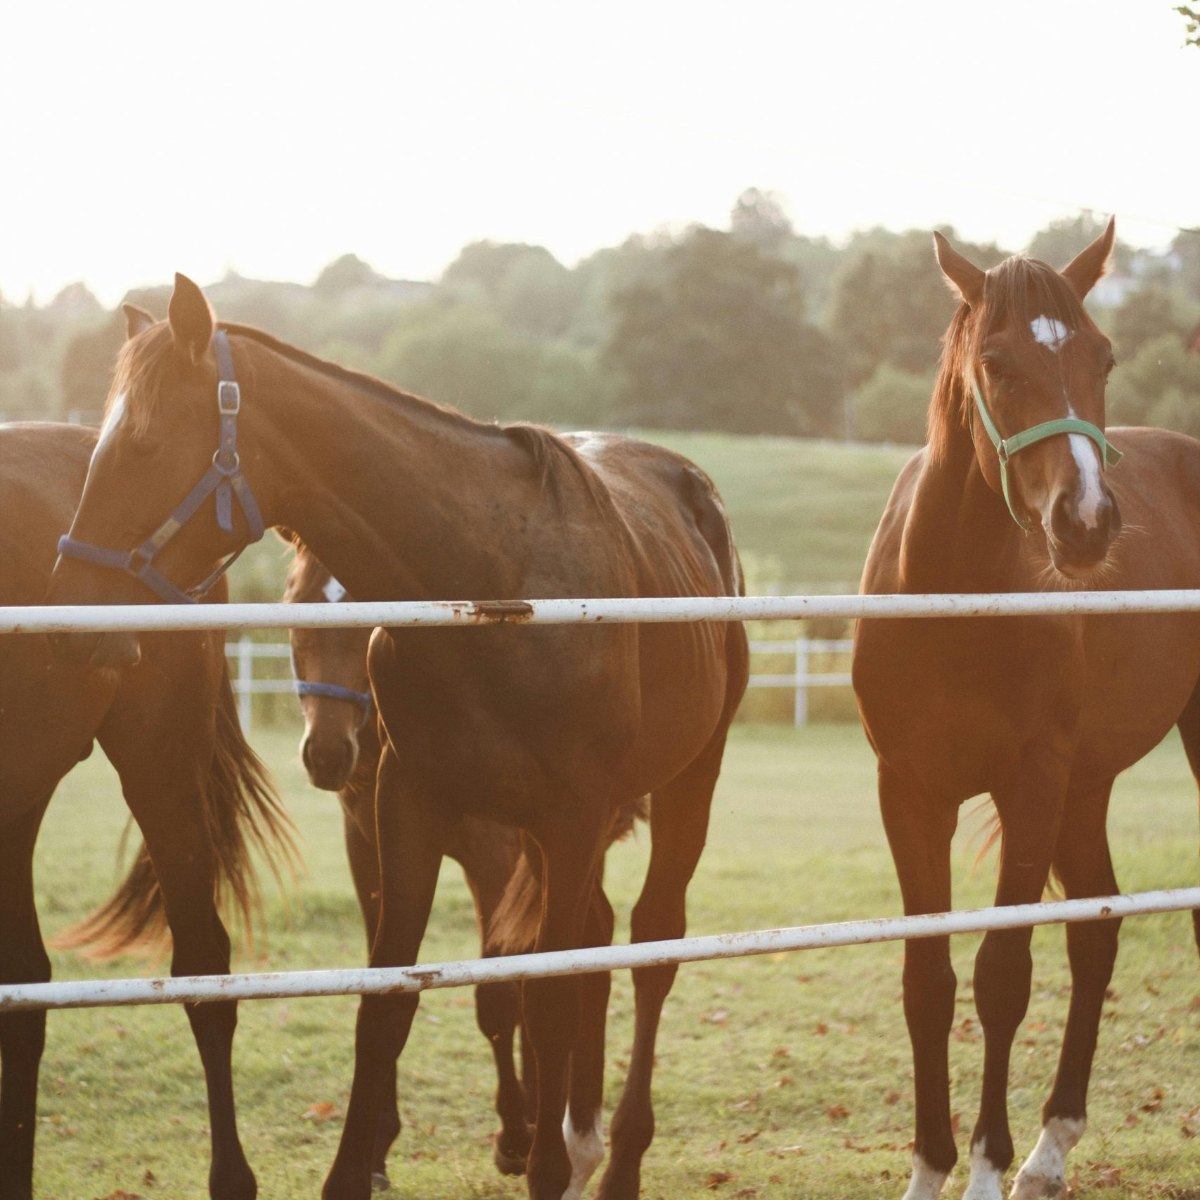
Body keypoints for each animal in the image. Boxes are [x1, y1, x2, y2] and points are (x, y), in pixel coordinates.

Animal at [47, 287, 750, 1200]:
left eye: (143, 444)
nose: (67, 606)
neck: (492, 588)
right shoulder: (410, 808)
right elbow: (388, 1001)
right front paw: (359, 1166)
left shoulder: (568, 818)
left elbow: (543, 997)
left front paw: (540, 1161)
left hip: (685, 783)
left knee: (653, 948)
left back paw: (616, 1156)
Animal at [852, 218, 1200, 1200]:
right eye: (998, 363)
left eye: (1104, 356)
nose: (1086, 524)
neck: (954, 598)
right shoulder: (911, 793)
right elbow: (927, 979)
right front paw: (930, 1167)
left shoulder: (1031, 785)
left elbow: (1002, 973)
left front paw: (983, 1164)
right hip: (1088, 786)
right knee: (1098, 929)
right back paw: (1053, 1146)